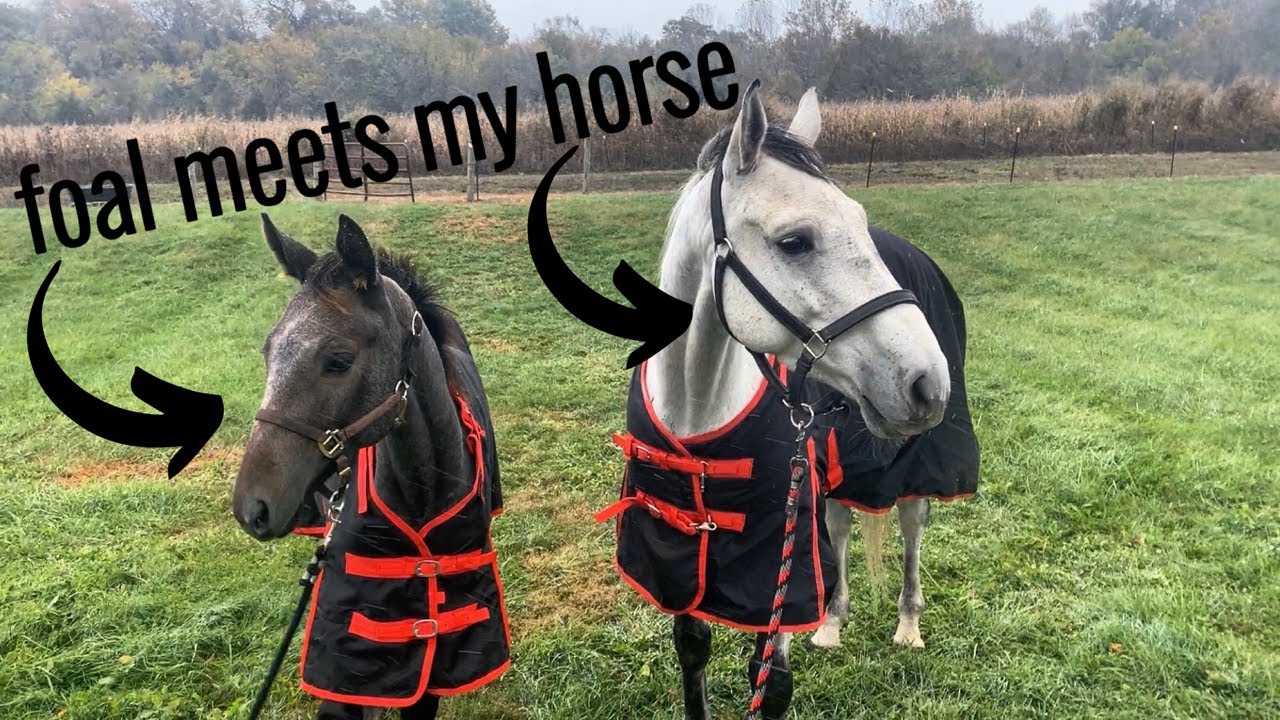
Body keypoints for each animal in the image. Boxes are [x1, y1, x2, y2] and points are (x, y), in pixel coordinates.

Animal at [232, 214, 510, 720]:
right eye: (269, 351)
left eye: (338, 360)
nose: (252, 507)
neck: (423, 489)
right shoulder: (347, 670)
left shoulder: (430, 675)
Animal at [597, 81, 978, 719]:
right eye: (795, 242)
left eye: (858, 220)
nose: (928, 383)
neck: (698, 407)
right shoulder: (679, 558)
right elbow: (691, 649)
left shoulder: (776, 560)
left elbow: (770, 683)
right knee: (842, 526)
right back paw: (831, 624)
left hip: (910, 466)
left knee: (911, 526)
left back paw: (908, 625)